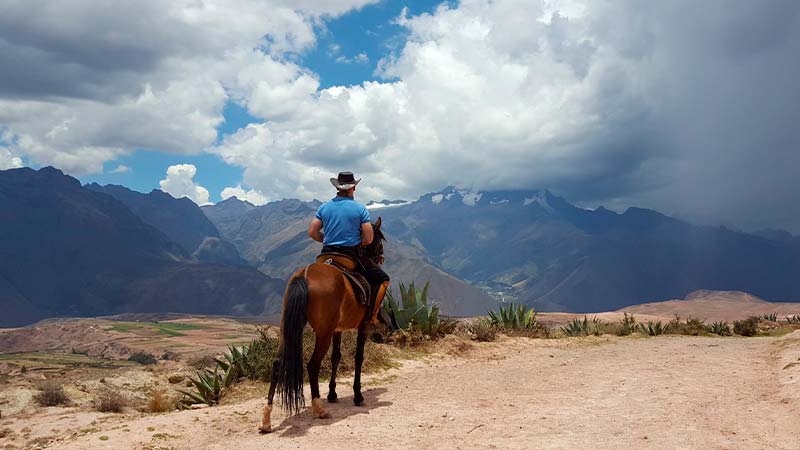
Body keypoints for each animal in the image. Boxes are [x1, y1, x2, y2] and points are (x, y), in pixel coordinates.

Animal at [260, 218, 388, 432]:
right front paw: (357, 395)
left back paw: (266, 419)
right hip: (323, 335)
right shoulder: (362, 328)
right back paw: (319, 409)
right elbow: (358, 358)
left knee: (277, 362)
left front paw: (333, 394)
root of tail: (305, 274)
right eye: (378, 240)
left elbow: (336, 357)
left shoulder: (337, 329)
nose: (381, 257)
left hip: (289, 328)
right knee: (312, 365)